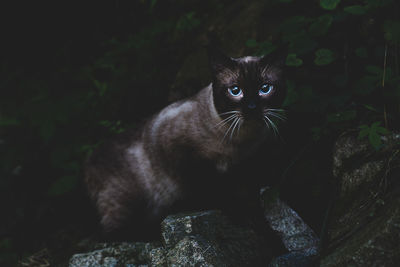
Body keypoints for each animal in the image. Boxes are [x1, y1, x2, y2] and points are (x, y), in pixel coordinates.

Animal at [84, 47, 286, 241]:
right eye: (235, 91)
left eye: (265, 89)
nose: (252, 108)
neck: (240, 140)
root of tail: (88, 162)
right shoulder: (189, 161)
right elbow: (217, 194)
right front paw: (238, 217)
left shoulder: (247, 170)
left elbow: (255, 210)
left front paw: (269, 235)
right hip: (129, 203)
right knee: (111, 234)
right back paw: (152, 234)